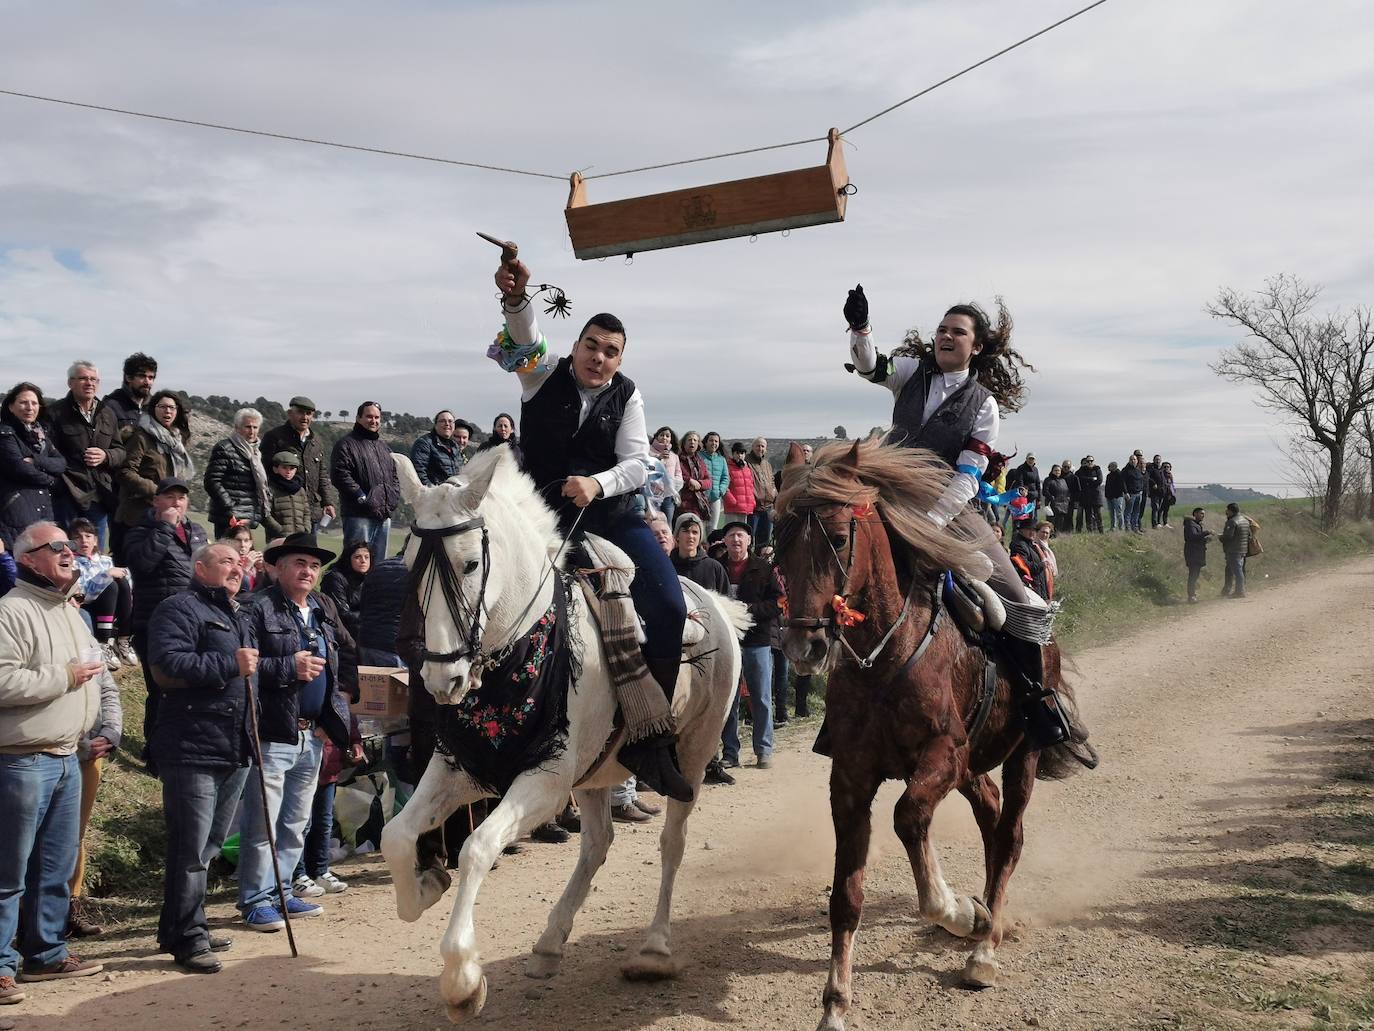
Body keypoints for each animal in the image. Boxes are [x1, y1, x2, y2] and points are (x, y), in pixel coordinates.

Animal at [381, 448, 747, 1022]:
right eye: (413, 564)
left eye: (470, 563)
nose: (443, 680)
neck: (524, 647)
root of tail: (715, 602)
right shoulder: (459, 767)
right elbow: (394, 834)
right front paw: (425, 885)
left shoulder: (545, 780)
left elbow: (477, 848)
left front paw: (462, 979)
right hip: (595, 772)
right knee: (597, 843)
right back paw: (551, 942)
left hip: (691, 757)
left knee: (672, 843)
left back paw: (654, 948)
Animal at [780, 437, 1088, 1031]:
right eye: (778, 545)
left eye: (837, 537)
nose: (803, 647)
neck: (885, 660)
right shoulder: (851, 778)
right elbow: (846, 895)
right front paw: (835, 1005)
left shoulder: (942, 755)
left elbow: (908, 819)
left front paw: (961, 912)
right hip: (973, 768)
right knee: (990, 818)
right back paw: (989, 916)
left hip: (1021, 756)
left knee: (1009, 836)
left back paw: (984, 946)